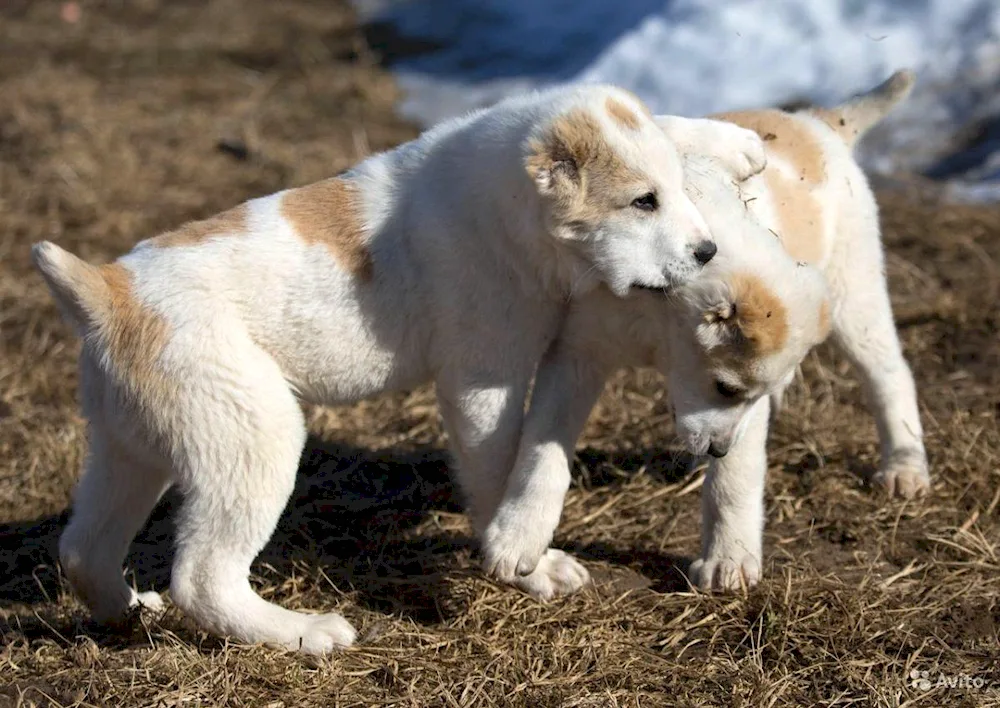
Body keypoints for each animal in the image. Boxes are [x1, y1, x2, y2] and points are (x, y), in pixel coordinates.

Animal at [31, 83, 764, 652]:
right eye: (643, 203)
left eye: (674, 191)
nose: (707, 252)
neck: (500, 207)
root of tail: (107, 292)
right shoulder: (482, 379)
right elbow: (501, 470)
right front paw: (526, 565)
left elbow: (656, 118)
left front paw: (734, 142)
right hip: (253, 437)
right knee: (203, 578)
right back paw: (304, 633)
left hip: (129, 450)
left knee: (83, 549)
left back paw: (127, 612)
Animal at [480, 69, 924, 596]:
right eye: (725, 388)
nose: (717, 448)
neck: (655, 316)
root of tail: (819, 122)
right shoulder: (577, 354)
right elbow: (542, 451)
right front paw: (518, 538)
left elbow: (735, 478)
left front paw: (728, 561)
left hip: (855, 296)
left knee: (891, 375)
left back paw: (904, 465)